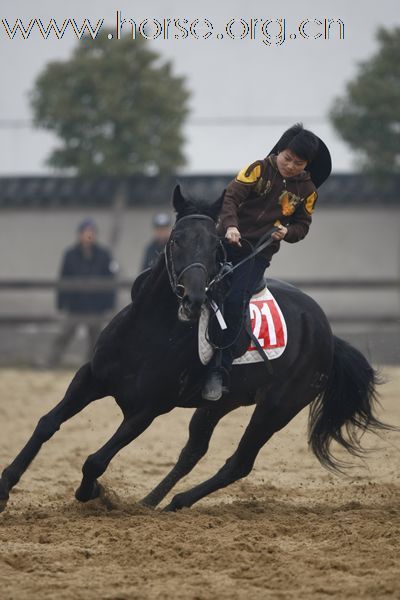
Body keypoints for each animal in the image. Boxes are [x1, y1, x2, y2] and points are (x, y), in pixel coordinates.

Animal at [0, 186, 390, 510]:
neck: (148, 333)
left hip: (277, 408)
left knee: (239, 463)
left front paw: (91, 492)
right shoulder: (91, 378)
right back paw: (150, 502)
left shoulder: (147, 409)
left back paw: (178, 501)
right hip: (219, 404)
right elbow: (47, 423)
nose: (194, 297)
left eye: (214, 246)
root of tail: (327, 334)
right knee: (193, 452)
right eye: (175, 240)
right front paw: (5, 486)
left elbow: (95, 460)